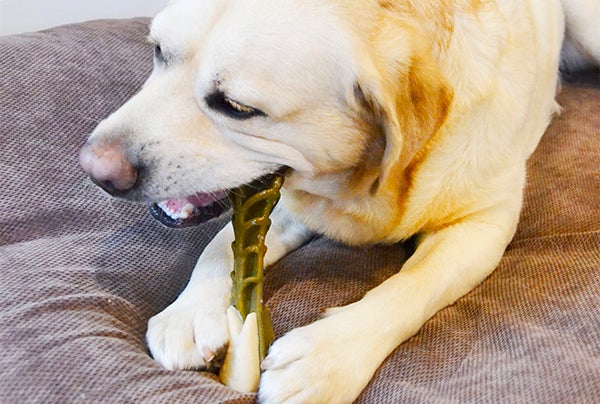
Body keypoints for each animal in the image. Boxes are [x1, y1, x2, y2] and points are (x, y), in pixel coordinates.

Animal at [78, 1, 596, 402]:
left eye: (238, 108)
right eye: (157, 51)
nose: (95, 168)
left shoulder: (484, 222)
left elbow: (412, 286)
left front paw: (325, 358)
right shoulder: (284, 199)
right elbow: (221, 247)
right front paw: (188, 313)